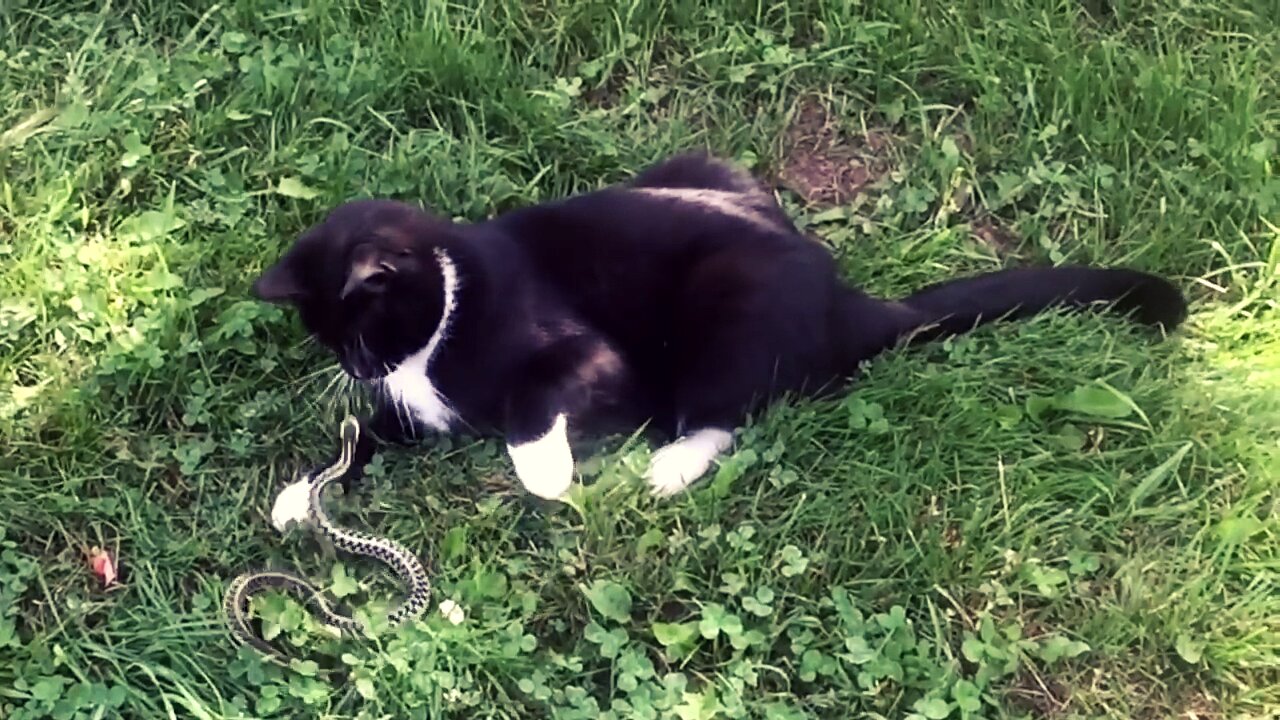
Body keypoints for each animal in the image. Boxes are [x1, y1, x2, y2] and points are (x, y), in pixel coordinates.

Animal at [252, 151, 1187, 527]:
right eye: (329, 339)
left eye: (358, 327)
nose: (356, 367)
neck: (451, 298)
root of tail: (847, 300)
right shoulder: (417, 407)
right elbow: (373, 434)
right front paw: (303, 493)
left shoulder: (584, 356)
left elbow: (533, 396)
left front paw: (546, 472)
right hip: (705, 163)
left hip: (729, 306)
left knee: (733, 408)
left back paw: (666, 466)